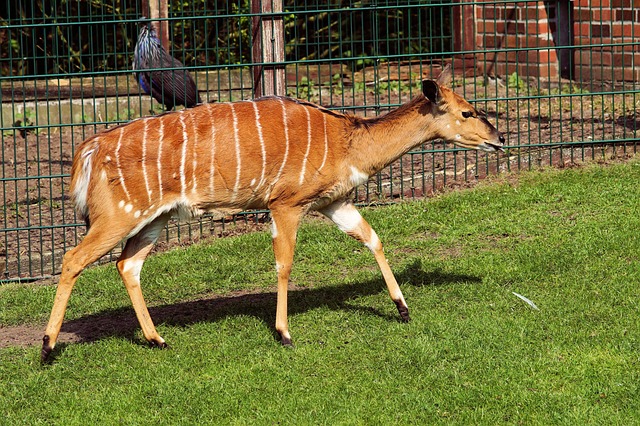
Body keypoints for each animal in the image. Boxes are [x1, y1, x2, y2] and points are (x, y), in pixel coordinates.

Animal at [42, 69, 504, 360]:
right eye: (467, 112)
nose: (500, 138)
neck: (349, 140)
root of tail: (88, 150)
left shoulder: (334, 202)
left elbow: (372, 237)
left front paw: (403, 308)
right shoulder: (286, 203)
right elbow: (284, 263)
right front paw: (283, 334)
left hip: (157, 217)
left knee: (127, 263)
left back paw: (158, 340)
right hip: (119, 216)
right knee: (74, 258)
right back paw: (47, 349)